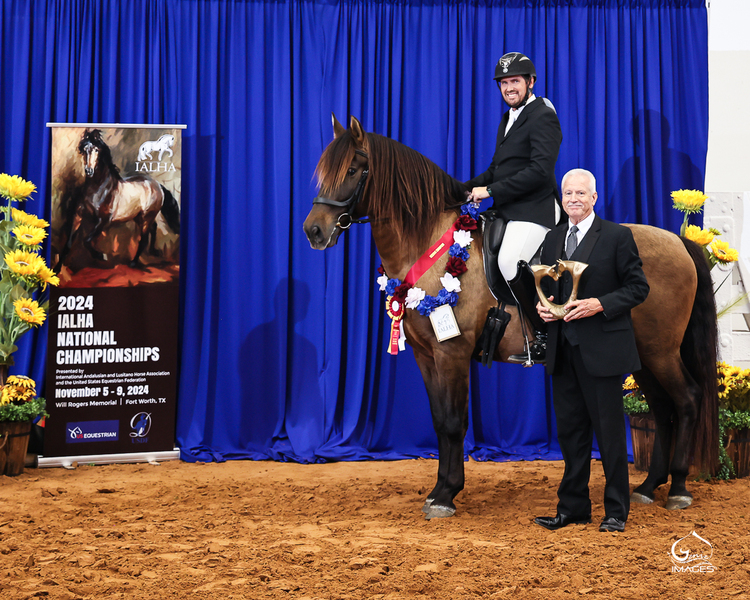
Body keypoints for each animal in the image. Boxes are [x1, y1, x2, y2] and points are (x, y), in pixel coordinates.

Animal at [55, 129, 181, 270]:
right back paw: (153, 251)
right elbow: (68, 243)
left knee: (144, 238)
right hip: (139, 216)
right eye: (84, 150)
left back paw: (133, 262)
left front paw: (101, 255)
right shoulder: (78, 215)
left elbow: (86, 240)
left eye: (97, 150)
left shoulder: (104, 220)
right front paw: (56, 269)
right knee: (153, 228)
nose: (89, 171)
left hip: (147, 216)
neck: (98, 190)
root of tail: (157, 185)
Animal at [303, 115, 718, 520]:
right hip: (641, 354)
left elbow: (453, 422)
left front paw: (446, 495)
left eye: (354, 169)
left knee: (686, 399)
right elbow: (439, 421)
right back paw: (649, 486)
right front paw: (438, 490)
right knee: (662, 407)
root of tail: (678, 241)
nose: (313, 231)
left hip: (660, 350)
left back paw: (678, 489)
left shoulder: (451, 352)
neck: (431, 245)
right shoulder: (426, 354)